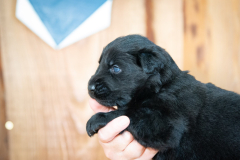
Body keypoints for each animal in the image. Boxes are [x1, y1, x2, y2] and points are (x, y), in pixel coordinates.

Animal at [86, 34, 240, 159]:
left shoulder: (163, 125)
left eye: (115, 68)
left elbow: (128, 113)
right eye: (99, 64)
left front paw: (97, 119)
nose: (90, 87)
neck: (162, 87)